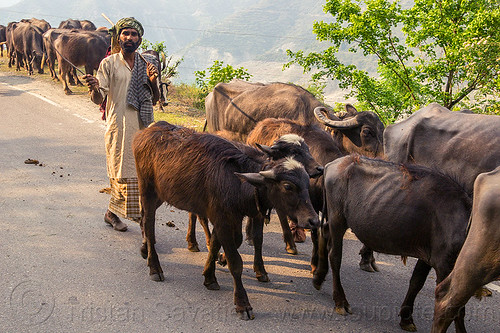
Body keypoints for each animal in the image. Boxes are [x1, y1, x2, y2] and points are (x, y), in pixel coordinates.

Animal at [134, 120, 320, 318]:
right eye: (288, 186)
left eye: (306, 184)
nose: (313, 220)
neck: (237, 181)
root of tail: (149, 130)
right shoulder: (222, 219)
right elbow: (235, 261)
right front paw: (242, 303)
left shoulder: (239, 215)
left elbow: (238, 241)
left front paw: (211, 274)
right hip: (147, 190)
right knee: (148, 224)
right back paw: (154, 266)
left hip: (163, 194)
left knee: (146, 218)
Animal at [314, 155, 474, 330]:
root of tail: (332, 164)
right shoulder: (445, 265)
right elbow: (455, 306)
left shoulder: (428, 257)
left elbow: (416, 281)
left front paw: (406, 318)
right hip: (338, 218)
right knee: (335, 255)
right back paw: (340, 301)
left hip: (333, 218)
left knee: (324, 232)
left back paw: (318, 277)